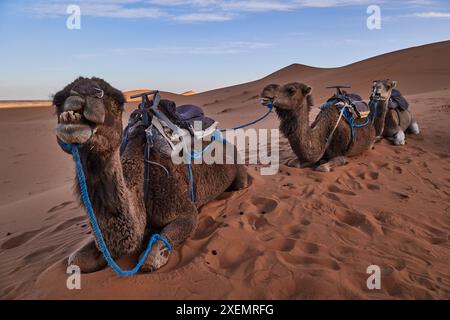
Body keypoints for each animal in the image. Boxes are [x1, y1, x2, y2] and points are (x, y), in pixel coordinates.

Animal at [55, 77, 250, 272]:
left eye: (117, 101)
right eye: (58, 99)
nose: (74, 108)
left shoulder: (184, 210)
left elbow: (150, 259)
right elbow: (74, 260)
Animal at [260, 80, 398, 172]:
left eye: (291, 90)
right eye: (374, 87)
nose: (265, 90)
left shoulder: (340, 155)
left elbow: (322, 168)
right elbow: (292, 163)